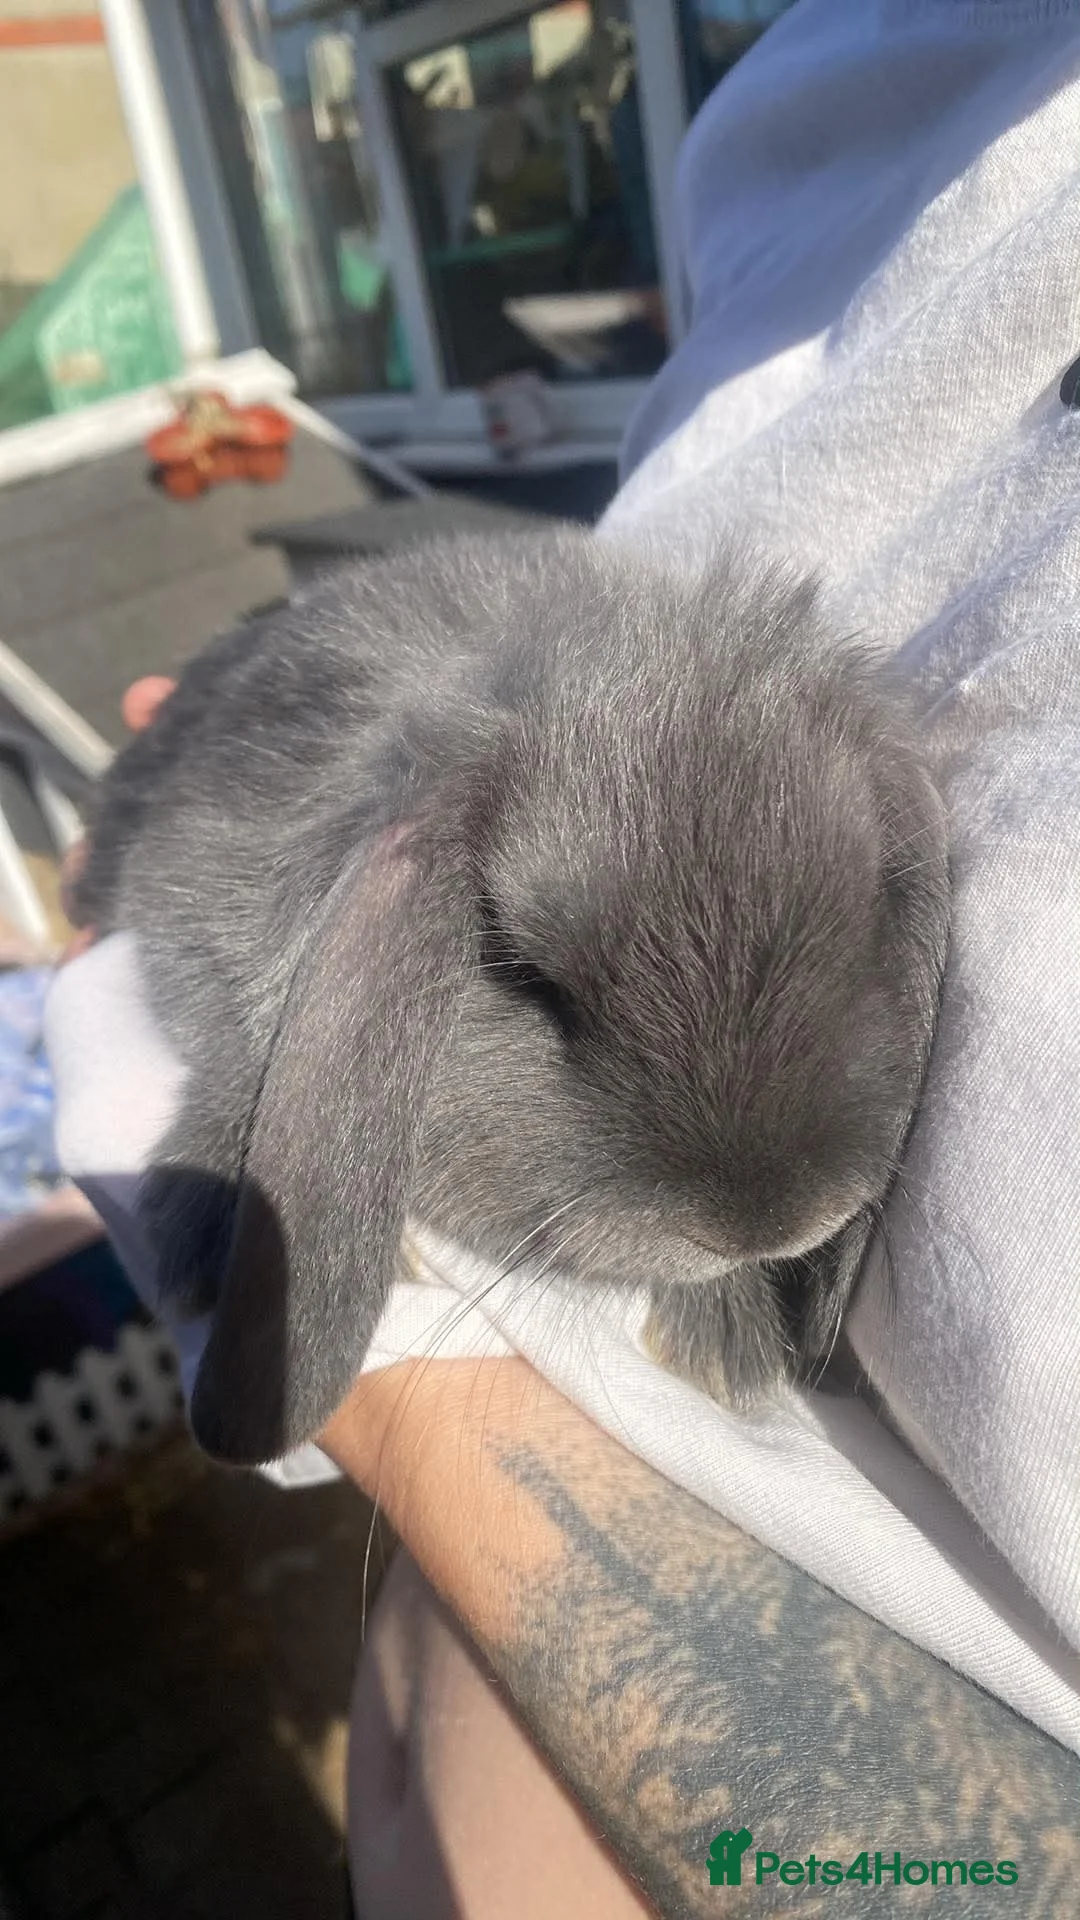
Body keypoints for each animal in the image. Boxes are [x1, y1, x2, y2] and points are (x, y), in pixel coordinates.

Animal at [71, 526, 950, 1467]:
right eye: (523, 972)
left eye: (867, 915)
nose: (769, 1226)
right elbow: (237, 1061)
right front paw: (209, 1229)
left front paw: (725, 1334)